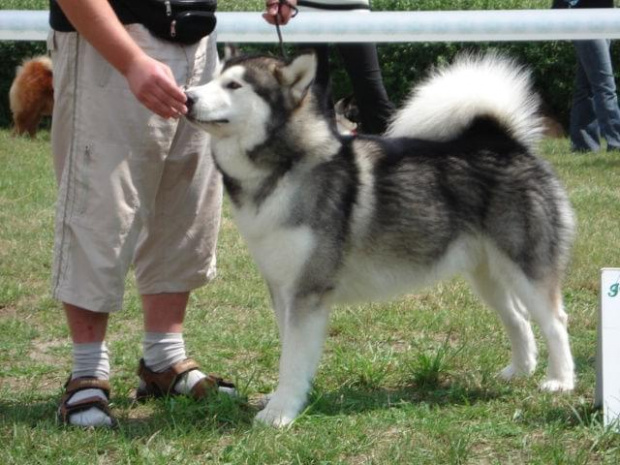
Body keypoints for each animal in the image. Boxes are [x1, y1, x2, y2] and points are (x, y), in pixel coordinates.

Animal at [185, 52, 576, 426]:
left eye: (234, 85)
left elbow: (293, 358)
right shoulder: (282, 288)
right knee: (518, 318)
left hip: (527, 267)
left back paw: (560, 380)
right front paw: (281, 399)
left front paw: (281, 412)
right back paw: (519, 371)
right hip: (487, 275)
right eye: (213, 77)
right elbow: (288, 350)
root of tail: (504, 141)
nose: (187, 96)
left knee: (554, 319)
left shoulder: (308, 290)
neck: (285, 167)